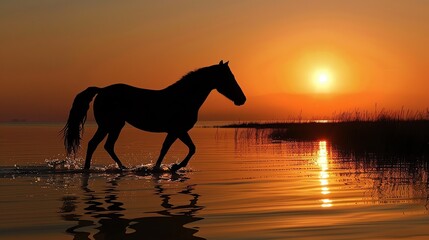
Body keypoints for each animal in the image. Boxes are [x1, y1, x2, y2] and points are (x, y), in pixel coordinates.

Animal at [61, 61, 246, 172]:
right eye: (229, 78)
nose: (242, 99)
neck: (184, 97)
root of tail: (101, 90)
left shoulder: (178, 131)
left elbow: (180, 148)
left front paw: (168, 167)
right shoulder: (177, 130)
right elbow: (181, 148)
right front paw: (172, 167)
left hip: (115, 126)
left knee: (107, 146)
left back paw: (122, 168)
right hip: (108, 125)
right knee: (94, 144)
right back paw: (88, 169)